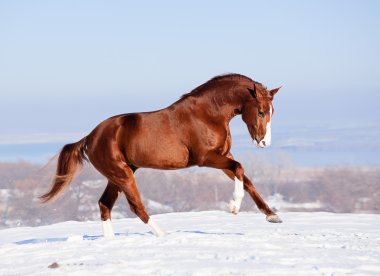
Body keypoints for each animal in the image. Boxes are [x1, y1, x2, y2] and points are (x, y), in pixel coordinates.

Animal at [39, 73, 282, 237]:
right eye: (261, 111)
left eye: (272, 111)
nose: (264, 142)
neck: (208, 114)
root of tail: (90, 137)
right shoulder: (205, 159)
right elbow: (240, 168)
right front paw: (234, 207)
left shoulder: (223, 157)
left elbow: (246, 179)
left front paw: (272, 215)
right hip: (122, 174)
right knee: (135, 206)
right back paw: (163, 235)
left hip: (117, 175)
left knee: (104, 205)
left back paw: (111, 242)